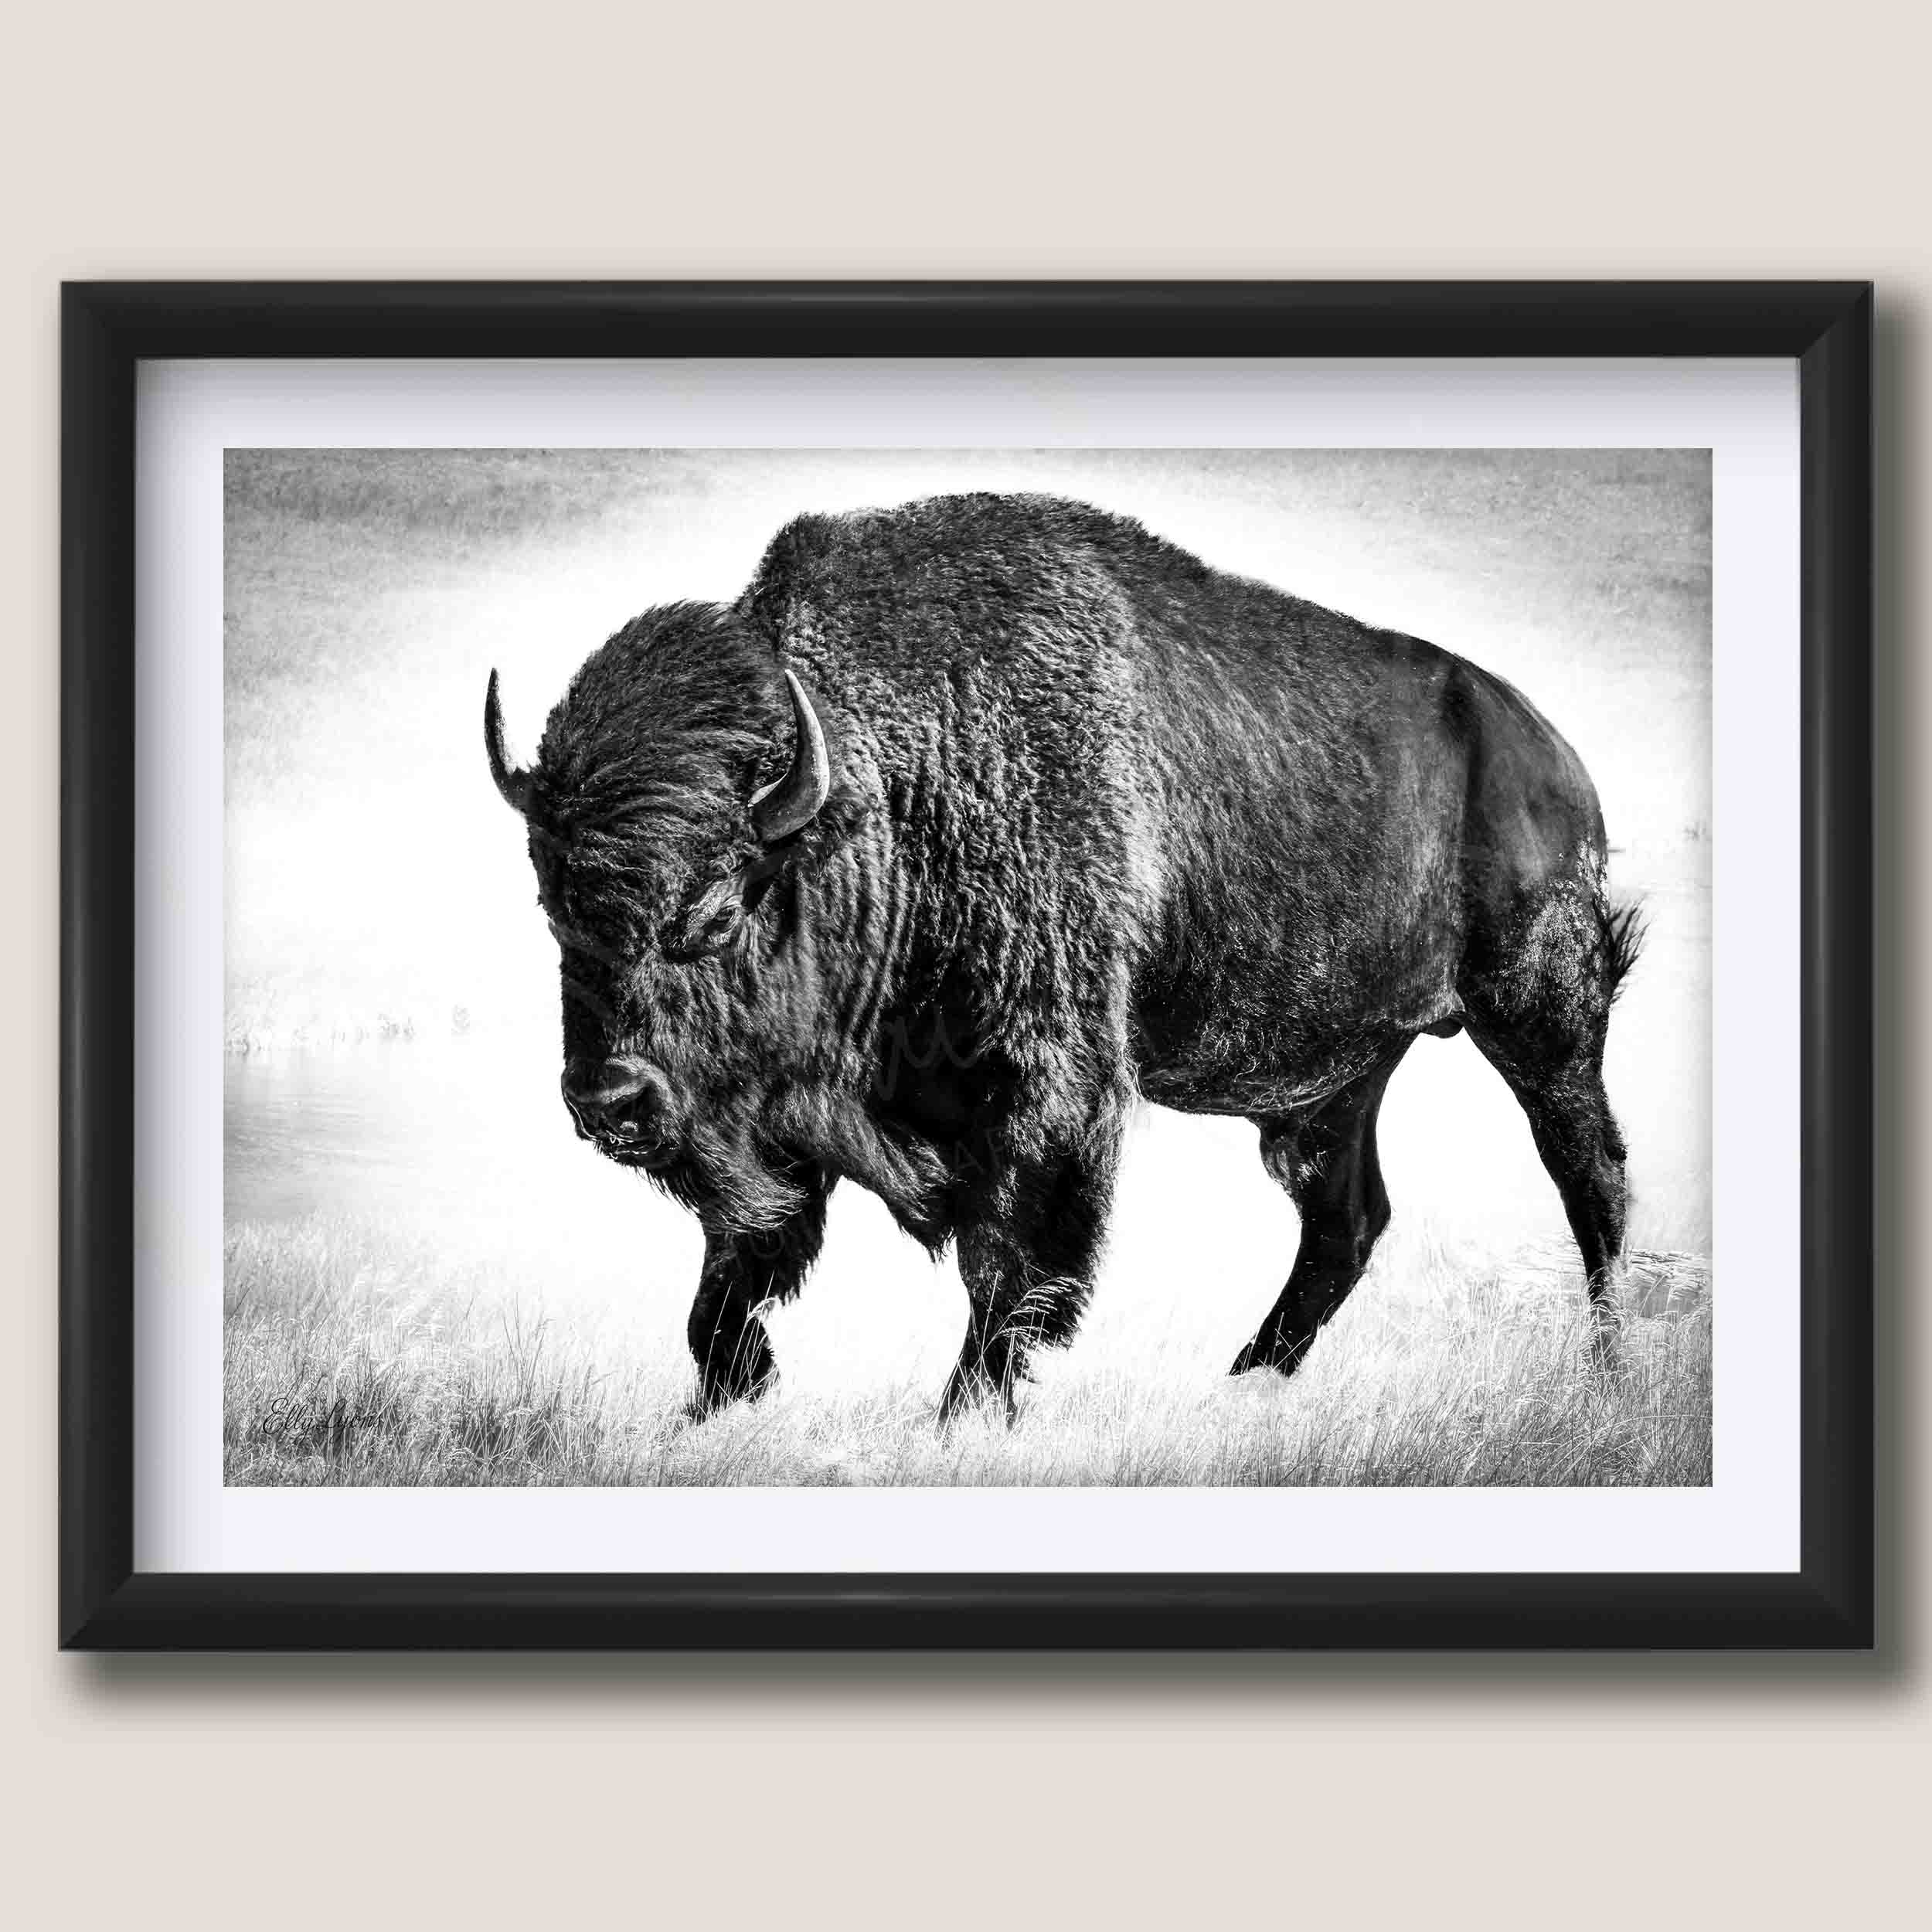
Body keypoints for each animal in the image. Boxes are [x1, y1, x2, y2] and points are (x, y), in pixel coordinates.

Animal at [485, 493, 1639, 1422]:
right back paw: (1241, 1384)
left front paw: (962, 1418)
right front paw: (730, 1395)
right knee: (1343, 1219)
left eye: (720, 908)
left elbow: (1008, 1267)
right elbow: (731, 1279)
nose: (608, 1098)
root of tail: (1552, 754)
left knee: (1589, 1174)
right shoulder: (782, 1126)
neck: (890, 790)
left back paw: (1608, 1367)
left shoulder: (1046, 1091)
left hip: (1540, 1016)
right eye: (555, 911)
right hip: (1338, 1078)